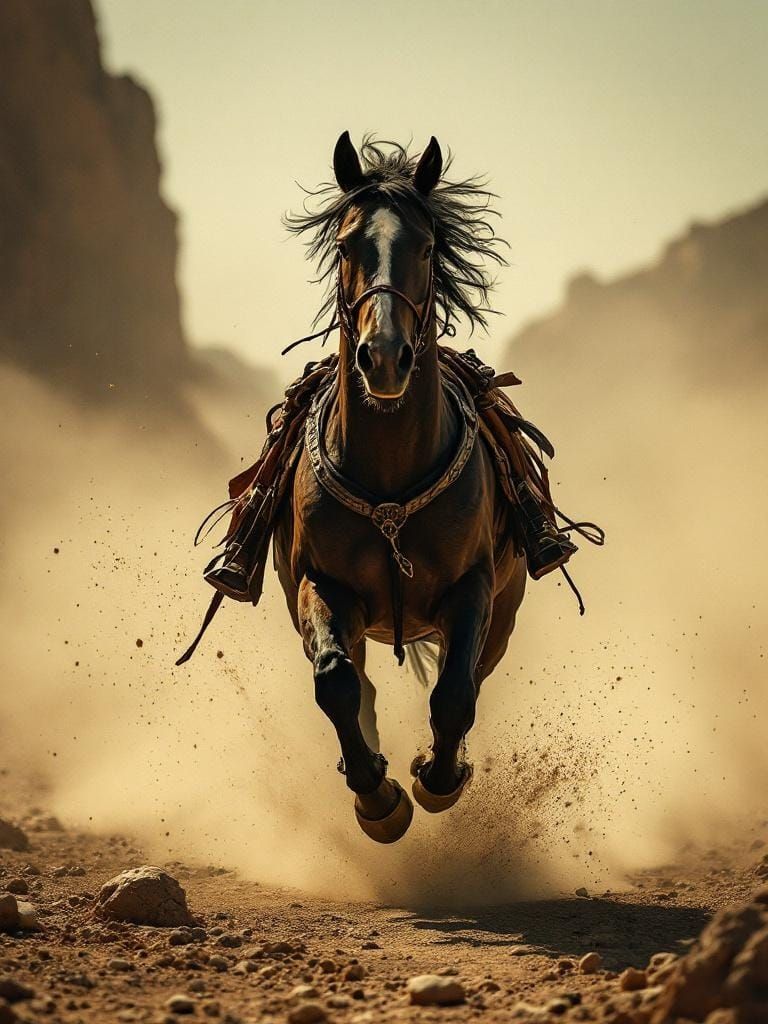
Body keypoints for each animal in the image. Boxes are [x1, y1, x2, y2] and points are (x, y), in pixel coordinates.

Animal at [271, 133, 527, 844]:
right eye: (345, 244)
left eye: (427, 246)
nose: (383, 357)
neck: (389, 481)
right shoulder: (320, 586)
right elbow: (336, 684)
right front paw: (378, 799)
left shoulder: (473, 587)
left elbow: (455, 693)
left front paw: (436, 780)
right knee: (358, 682)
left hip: (505, 609)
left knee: (470, 674)